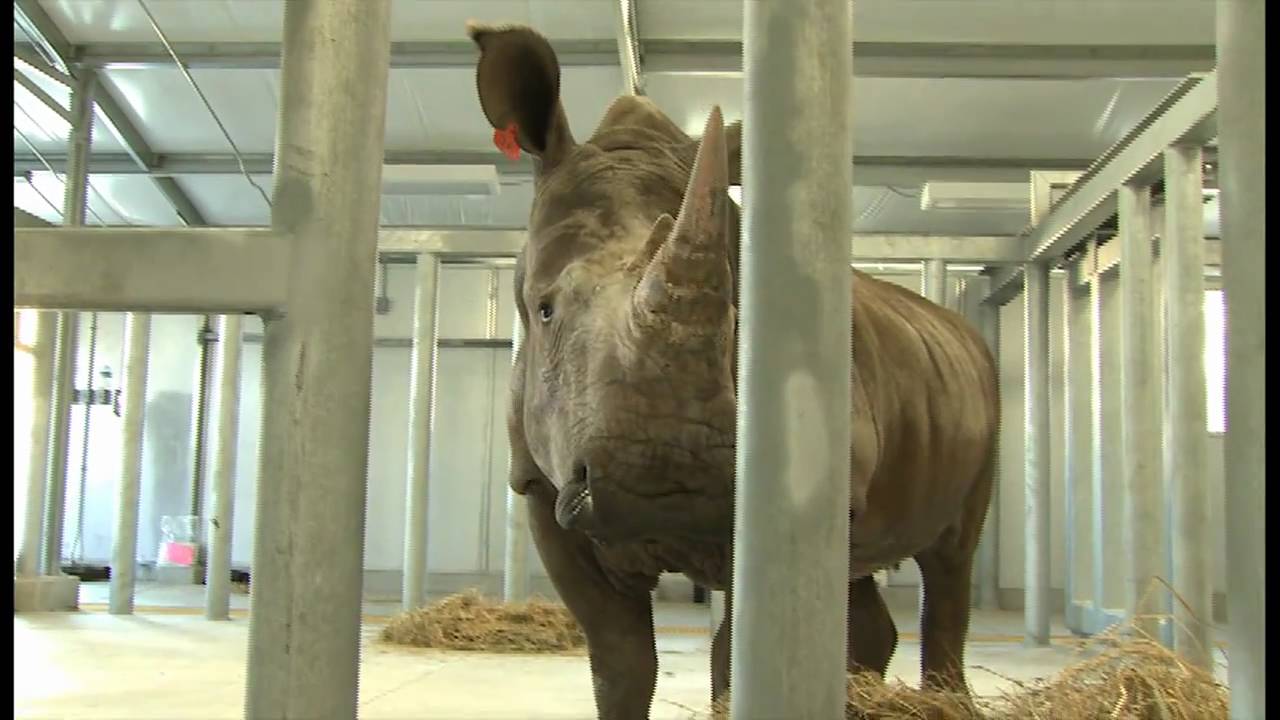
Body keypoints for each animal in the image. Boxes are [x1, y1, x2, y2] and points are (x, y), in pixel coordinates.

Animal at [467, 22, 1000, 719]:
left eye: (738, 315)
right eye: (545, 309)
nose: (664, 483)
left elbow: (734, 657)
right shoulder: (538, 484)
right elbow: (619, 659)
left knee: (950, 560)